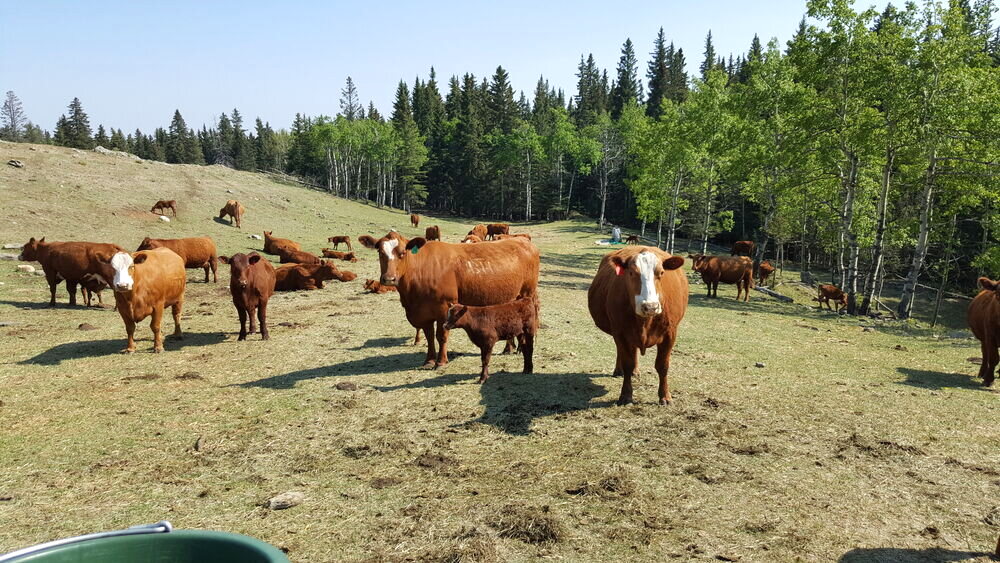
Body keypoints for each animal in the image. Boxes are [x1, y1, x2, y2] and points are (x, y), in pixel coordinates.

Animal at [359, 234, 540, 368]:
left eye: (403, 253)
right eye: (380, 252)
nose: (389, 279)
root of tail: (523, 240)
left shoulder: (444, 308)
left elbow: (441, 336)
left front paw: (440, 362)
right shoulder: (423, 313)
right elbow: (429, 336)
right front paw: (429, 360)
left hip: (527, 293)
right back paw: (509, 348)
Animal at [588, 246, 688, 405]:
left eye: (661, 273)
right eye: (631, 272)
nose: (650, 307)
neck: (645, 322)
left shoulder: (670, 333)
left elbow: (662, 366)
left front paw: (665, 396)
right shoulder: (620, 332)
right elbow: (627, 363)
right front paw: (625, 395)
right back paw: (619, 370)